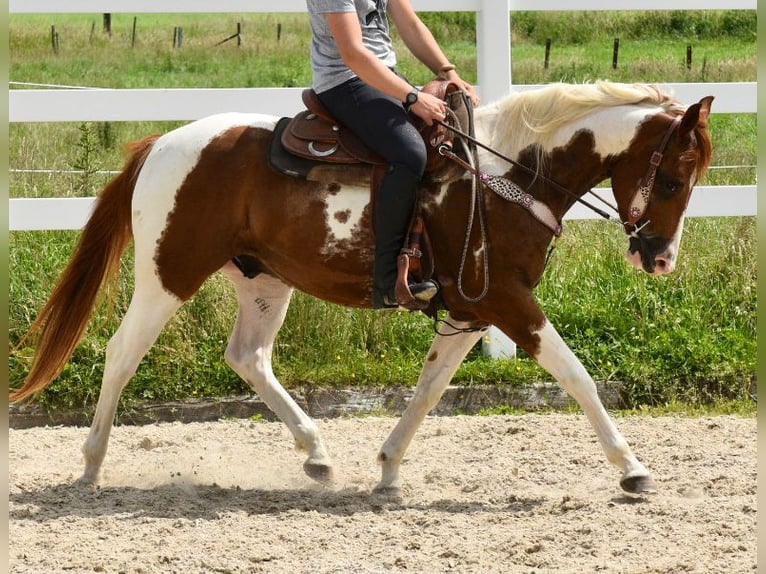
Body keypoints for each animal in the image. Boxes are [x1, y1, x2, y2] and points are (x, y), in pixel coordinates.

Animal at [10, 81, 713, 496]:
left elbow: (429, 390)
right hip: (167, 275)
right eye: (673, 179)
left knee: (248, 357)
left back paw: (317, 455)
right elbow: (578, 377)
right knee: (121, 353)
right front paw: (633, 468)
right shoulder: (508, 303)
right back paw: (91, 465)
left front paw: (389, 470)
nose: (659, 258)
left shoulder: (471, 311)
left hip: (264, 279)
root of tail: (162, 142)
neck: (508, 175)